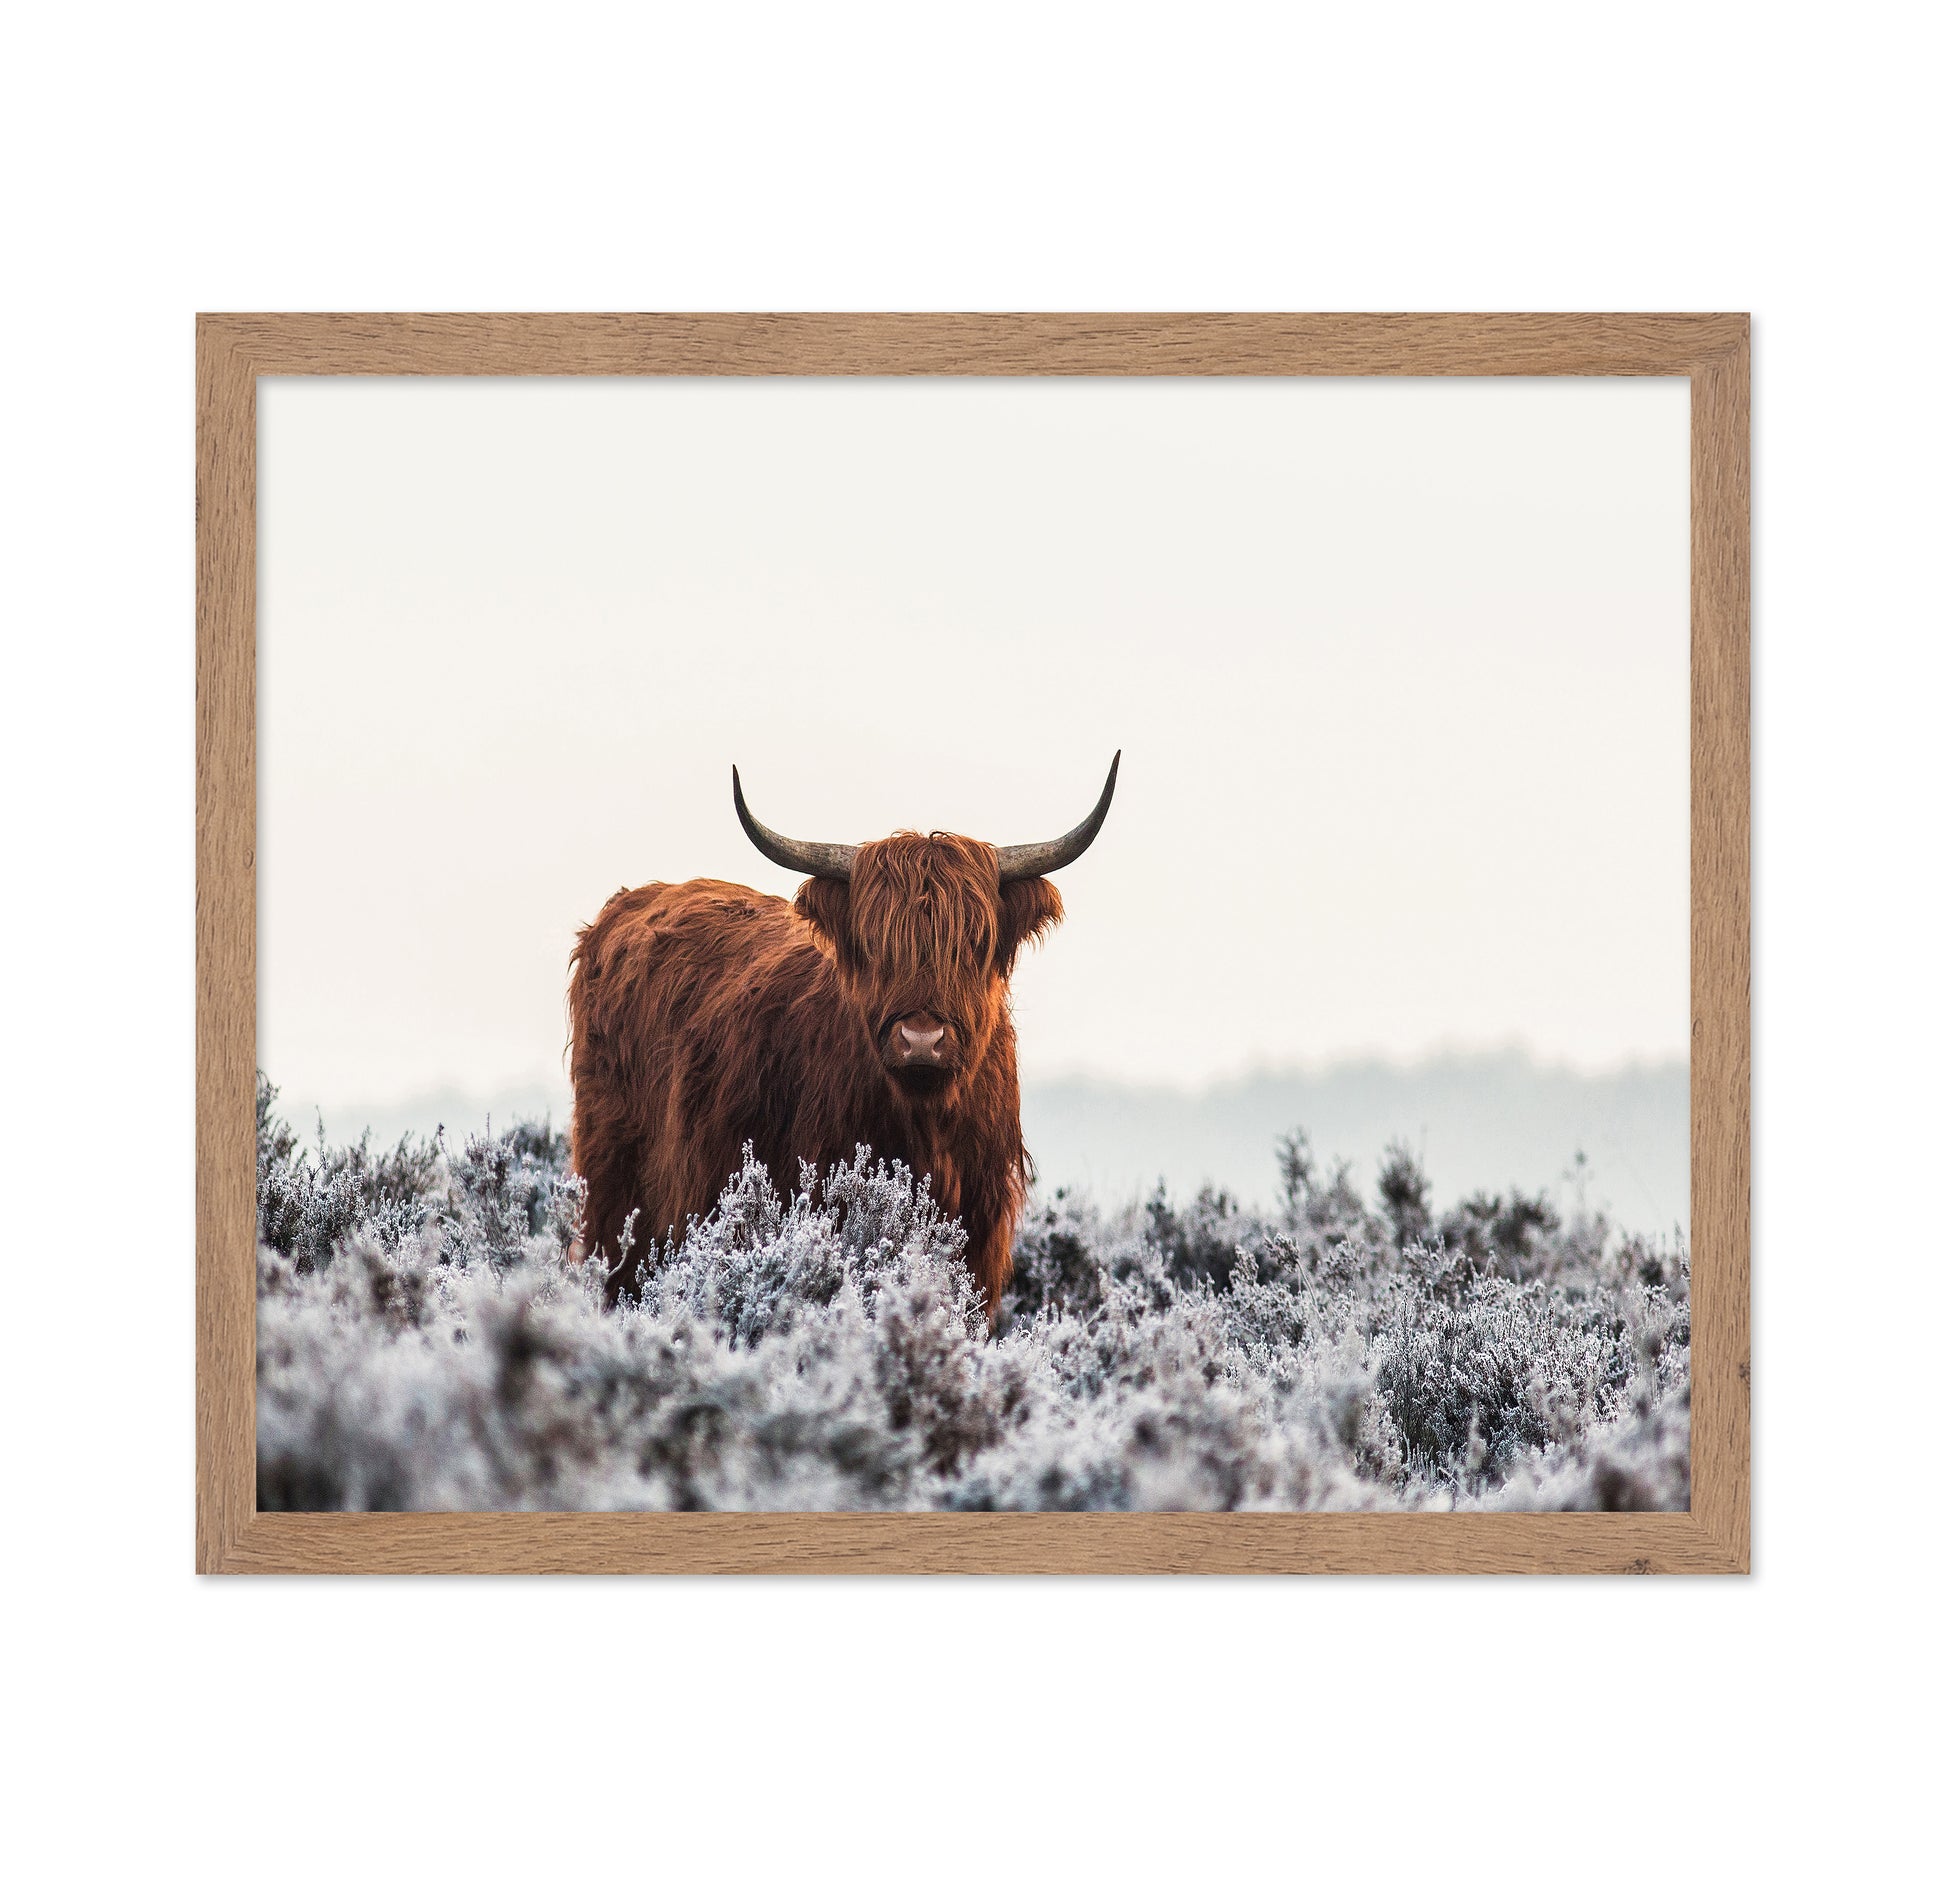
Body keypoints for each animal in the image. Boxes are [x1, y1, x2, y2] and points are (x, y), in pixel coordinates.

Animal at [566, 756, 1119, 1318]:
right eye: (875, 943)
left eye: (975, 941)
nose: (922, 1039)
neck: (924, 1126)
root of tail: (632, 902)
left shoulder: (980, 1238)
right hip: (617, 1192)